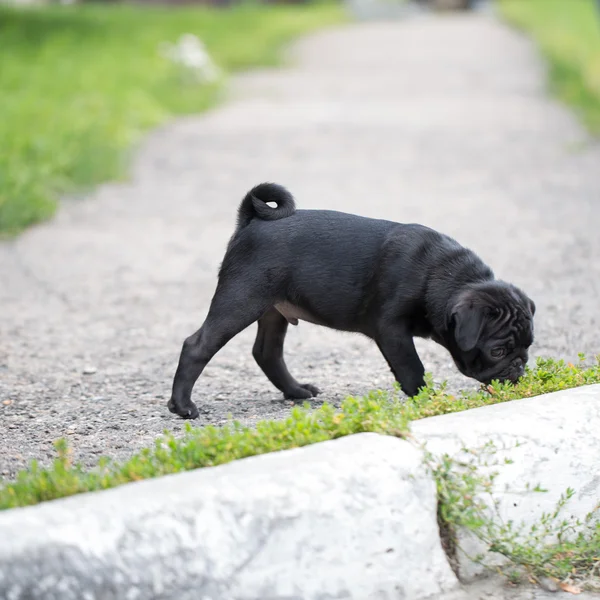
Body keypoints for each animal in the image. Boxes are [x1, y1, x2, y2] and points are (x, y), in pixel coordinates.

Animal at [166, 180, 536, 420]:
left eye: (528, 346)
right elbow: (412, 368)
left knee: (266, 352)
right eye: (497, 351)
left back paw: (296, 391)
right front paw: (428, 399)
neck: (443, 275)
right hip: (241, 298)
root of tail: (250, 221)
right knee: (197, 345)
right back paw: (182, 407)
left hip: (272, 309)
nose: (519, 366)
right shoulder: (392, 331)